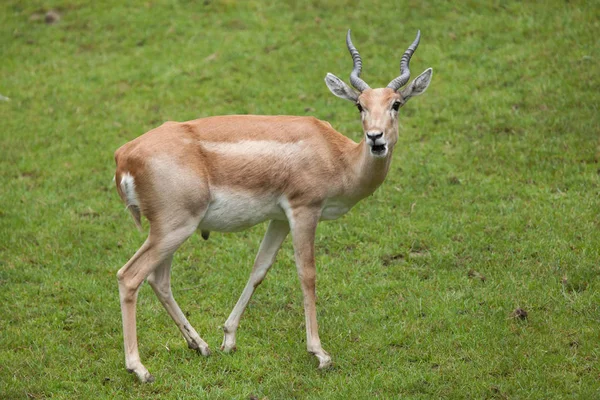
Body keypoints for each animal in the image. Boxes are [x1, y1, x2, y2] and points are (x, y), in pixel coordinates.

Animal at [113, 28, 432, 382]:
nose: (376, 138)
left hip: (170, 231)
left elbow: (259, 269)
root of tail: (124, 155)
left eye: (396, 103)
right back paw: (140, 368)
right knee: (130, 276)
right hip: (174, 228)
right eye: (359, 105)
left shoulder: (278, 219)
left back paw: (201, 346)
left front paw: (228, 338)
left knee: (158, 280)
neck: (337, 157)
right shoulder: (304, 210)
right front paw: (319, 353)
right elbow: (307, 274)